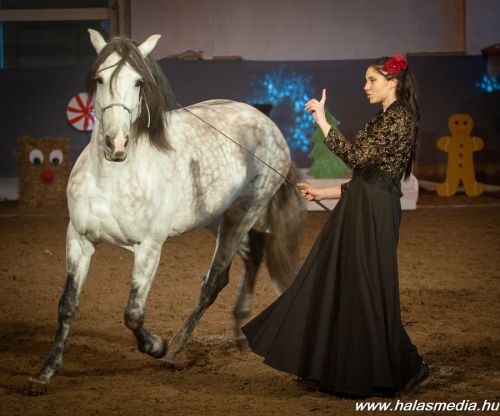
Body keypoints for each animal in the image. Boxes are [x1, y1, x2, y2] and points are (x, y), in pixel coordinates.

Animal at [26, 29, 306, 395]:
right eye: (100, 78)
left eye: (139, 82)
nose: (116, 144)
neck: (112, 178)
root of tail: (266, 122)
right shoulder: (79, 239)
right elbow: (67, 305)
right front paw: (45, 373)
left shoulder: (149, 247)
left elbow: (133, 313)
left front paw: (156, 346)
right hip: (217, 218)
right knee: (253, 254)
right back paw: (239, 332)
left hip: (243, 213)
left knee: (215, 280)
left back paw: (175, 350)